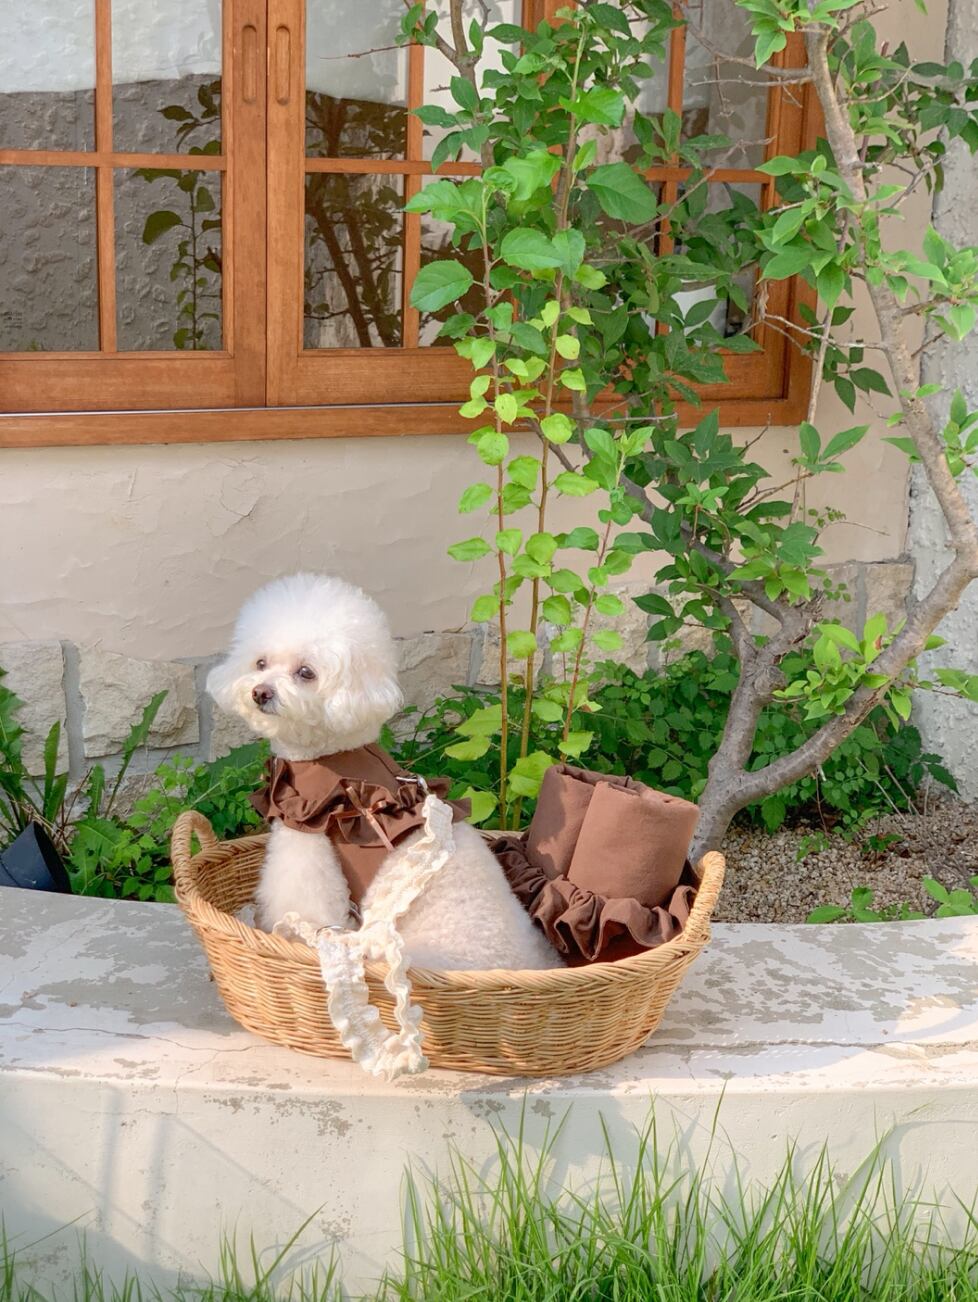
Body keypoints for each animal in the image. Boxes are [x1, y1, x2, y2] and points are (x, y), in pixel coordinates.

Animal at [206, 573, 559, 975]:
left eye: (306, 673)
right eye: (260, 662)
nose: (260, 692)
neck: (332, 755)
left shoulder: (307, 848)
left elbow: (303, 906)